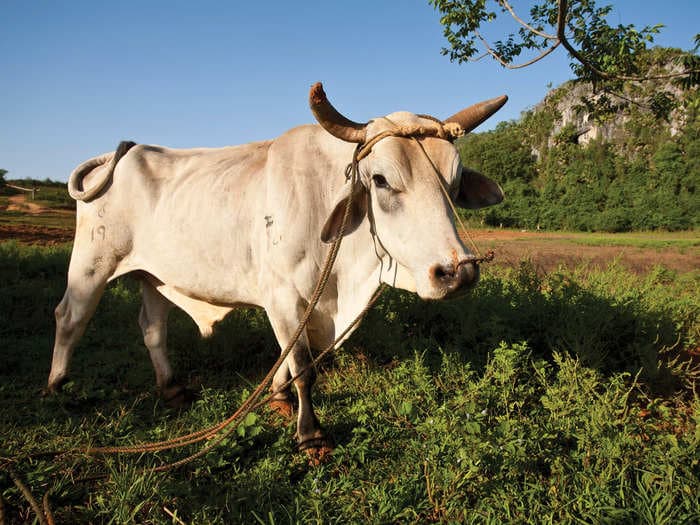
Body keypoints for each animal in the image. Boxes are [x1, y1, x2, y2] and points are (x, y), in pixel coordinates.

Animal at [50, 83, 508, 450]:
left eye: (454, 182)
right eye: (380, 179)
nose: (457, 271)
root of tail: (122, 152)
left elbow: (286, 359)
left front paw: (280, 399)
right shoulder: (284, 296)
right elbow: (303, 367)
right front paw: (310, 434)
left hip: (154, 276)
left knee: (152, 328)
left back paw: (172, 388)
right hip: (92, 264)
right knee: (71, 316)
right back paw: (58, 388)